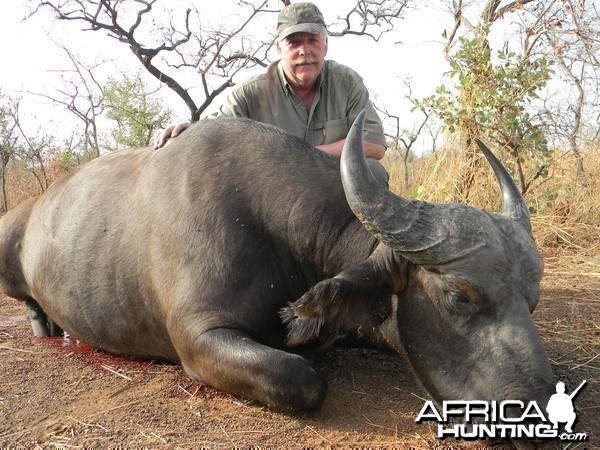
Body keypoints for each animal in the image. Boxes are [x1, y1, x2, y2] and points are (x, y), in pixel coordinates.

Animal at [0, 111, 552, 412]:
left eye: (532, 302)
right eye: (459, 296)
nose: (539, 403)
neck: (270, 225)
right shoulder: (199, 339)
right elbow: (306, 381)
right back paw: (45, 324)